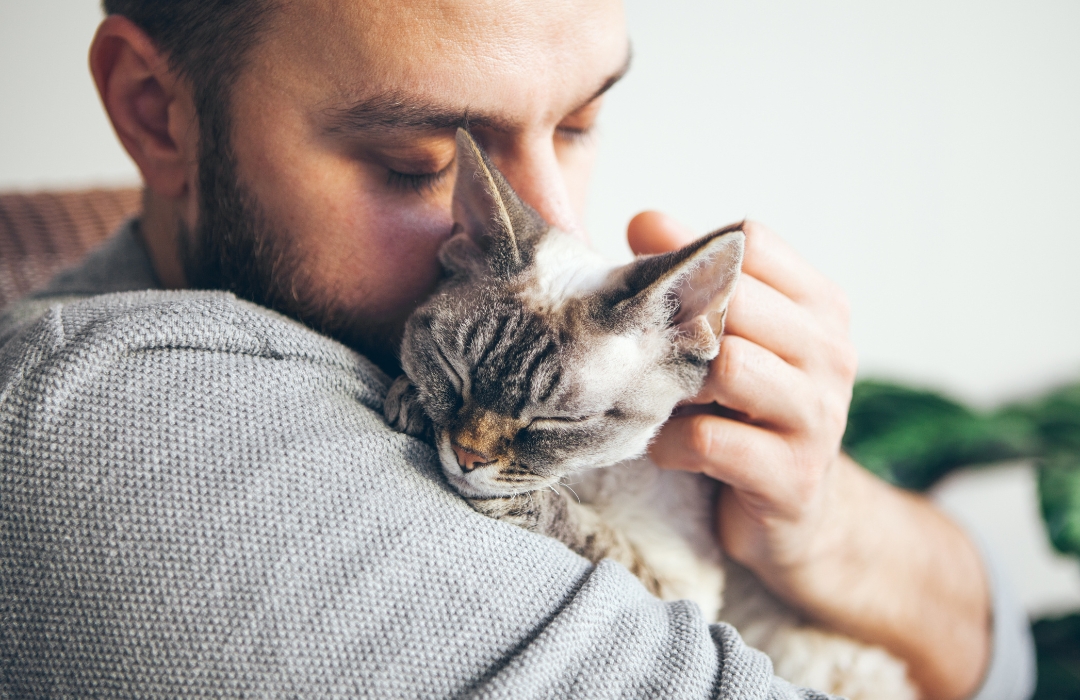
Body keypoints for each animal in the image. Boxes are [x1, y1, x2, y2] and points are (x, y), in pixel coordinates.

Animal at [384, 126, 915, 700]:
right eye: (452, 370)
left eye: (559, 422)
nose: (466, 457)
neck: (592, 475)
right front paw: (412, 400)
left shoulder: (684, 589)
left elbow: (594, 535)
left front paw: (525, 501)